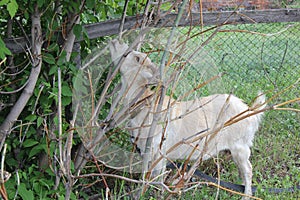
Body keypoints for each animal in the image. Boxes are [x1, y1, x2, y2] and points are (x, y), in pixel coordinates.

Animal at [109, 40, 266, 198]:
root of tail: (249, 110)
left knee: (248, 170)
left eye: (137, 58)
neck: (144, 103)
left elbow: (155, 178)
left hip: (240, 146)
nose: (116, 41)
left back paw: (246, 195)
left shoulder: (159, 153)